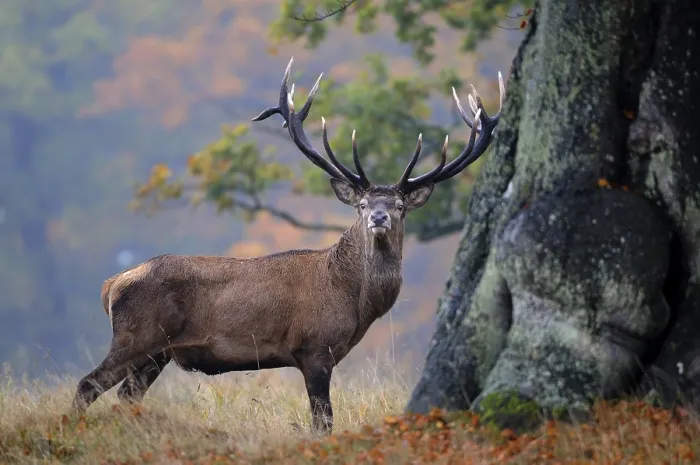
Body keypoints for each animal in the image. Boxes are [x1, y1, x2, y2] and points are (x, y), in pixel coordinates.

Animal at [70, 57, 504, 435]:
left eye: (399, 206)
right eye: (363, 204)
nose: (378, 218)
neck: (352, 298)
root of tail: (111, 285)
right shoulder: (313, 349)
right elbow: (323, 422)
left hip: (155, 354)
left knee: (126, 397)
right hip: (135, 337)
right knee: (87, 385)